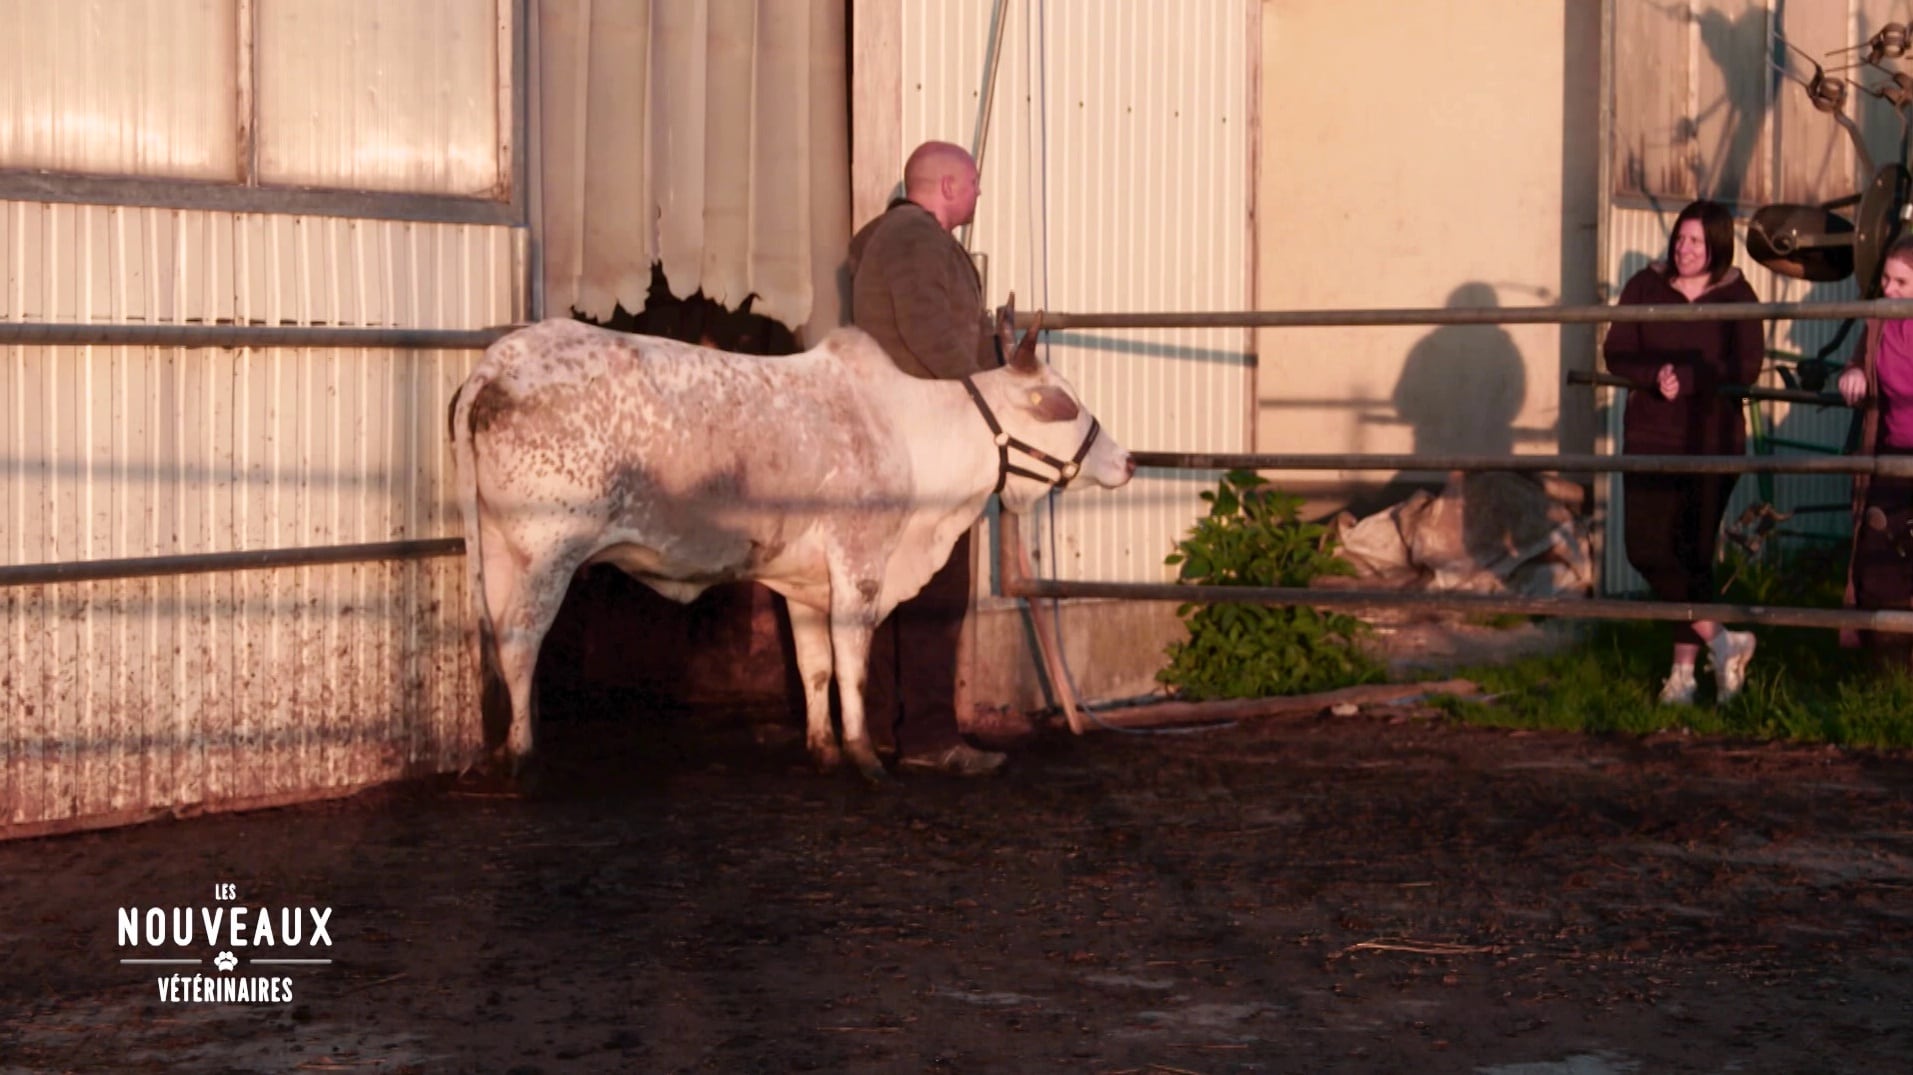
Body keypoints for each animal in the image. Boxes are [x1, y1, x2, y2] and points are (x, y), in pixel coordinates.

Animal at [447, 306, 1132, 772]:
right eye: (1062, 403)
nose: (1125, 459)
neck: (908, 432)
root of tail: (501, 361)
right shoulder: (859, 565)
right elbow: (852, 661)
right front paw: (864, 755)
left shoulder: (806, 582)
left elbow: (815, 665)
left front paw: (824, 747)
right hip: (547, 552)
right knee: (520, 640)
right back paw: (522, 753)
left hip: (501, 547)